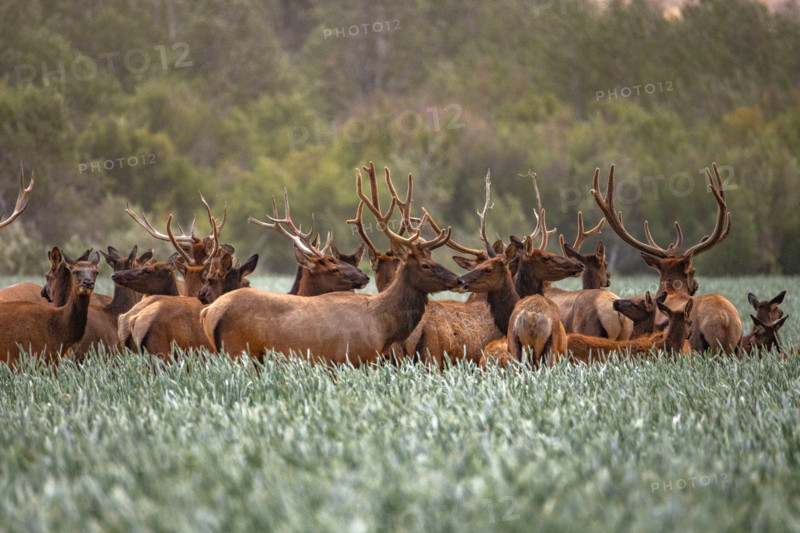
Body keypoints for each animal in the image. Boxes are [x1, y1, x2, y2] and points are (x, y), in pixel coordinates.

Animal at [199, 165, 461, 366]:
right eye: (425, 265)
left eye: (435, 259)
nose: (458, 279)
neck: (382, 327)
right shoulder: (353, 358)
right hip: (239, 351)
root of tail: (209, 312)